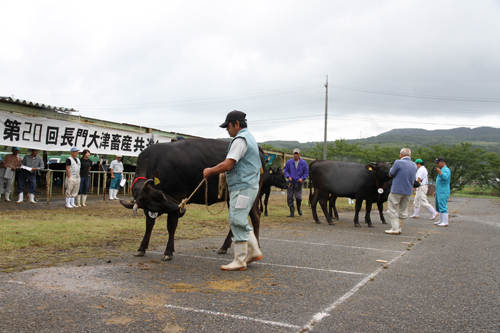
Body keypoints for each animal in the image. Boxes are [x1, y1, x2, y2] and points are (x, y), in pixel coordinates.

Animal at [120, 137, 266, 260]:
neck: (153, 161)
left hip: (252, 193)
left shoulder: (177, 195)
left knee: (255, 216)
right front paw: (141, 248)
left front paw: (168, 252)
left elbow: (171, 225)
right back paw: (224, 247)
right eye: (156, 203)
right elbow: (149, 223)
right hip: (232, 197)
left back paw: (257, 245)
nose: (182, 210)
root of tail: (257, 148)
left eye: (162, 195)